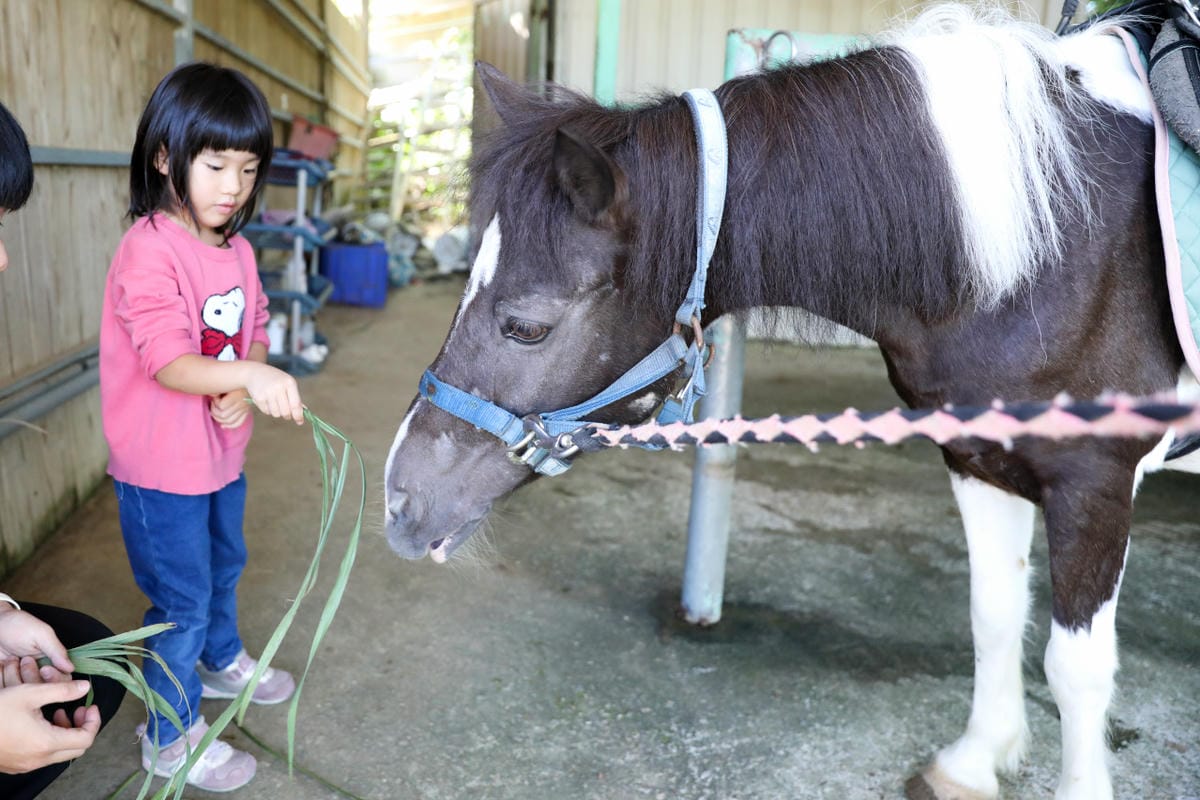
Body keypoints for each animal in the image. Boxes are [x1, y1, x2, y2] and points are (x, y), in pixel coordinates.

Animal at [383, 4, 1199, 798]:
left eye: (526, 326)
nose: (397, 503)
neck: (1048, 249)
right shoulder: (977, 459)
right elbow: (994, 615)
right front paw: (972, 765)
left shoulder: (1093, 484)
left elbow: (1075, 672)